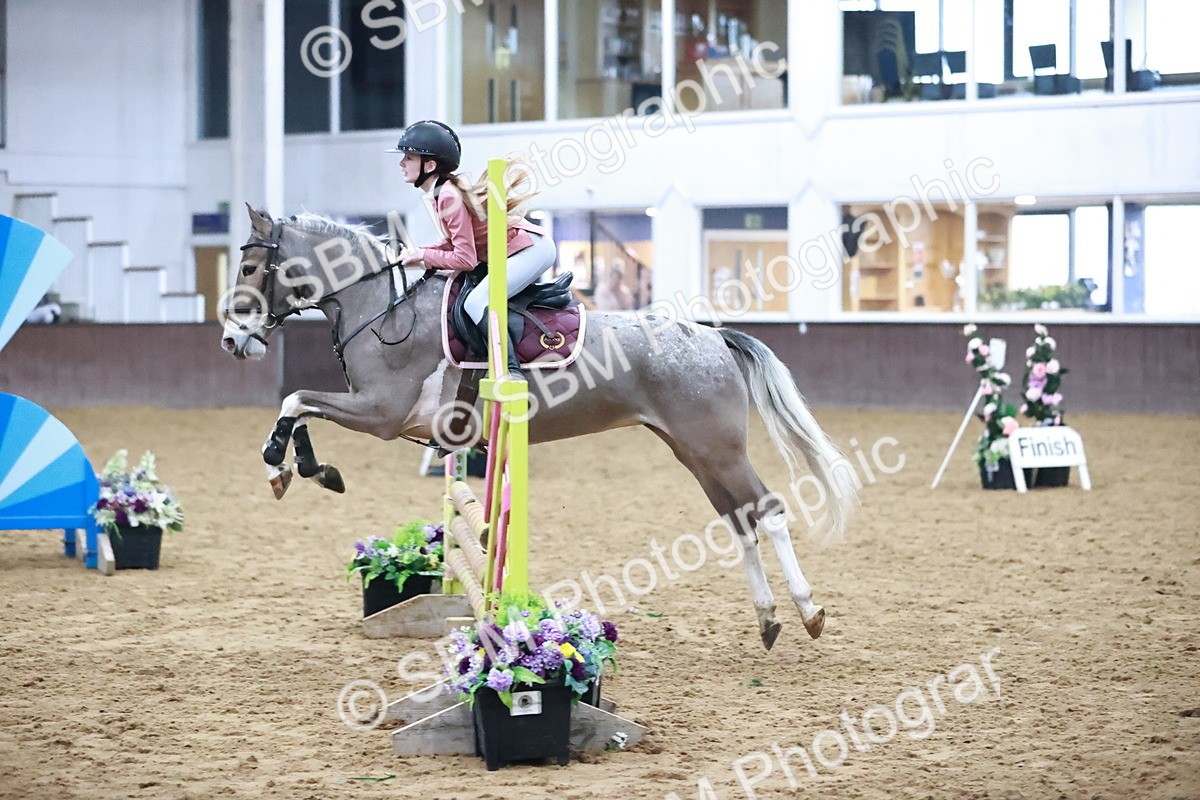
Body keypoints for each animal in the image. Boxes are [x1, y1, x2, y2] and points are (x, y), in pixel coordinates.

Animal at [221, 205, 857, 650]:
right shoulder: (375, 411)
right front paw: (307, 468)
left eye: (250, 267)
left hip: (718, 450)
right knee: (740, 520)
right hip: (694, 452)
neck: (381, 308)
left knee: (768, 509)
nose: (232, 340)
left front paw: (285, 465)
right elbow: (298, 405)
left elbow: (294, 400)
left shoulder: (381, 412)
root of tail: (713, 336)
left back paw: (808, 611)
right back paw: (768, 619)